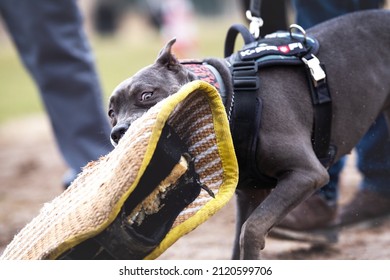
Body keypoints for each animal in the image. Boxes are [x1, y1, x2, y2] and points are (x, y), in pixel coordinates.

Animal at [106, 10, 390, 260]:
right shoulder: (250, 194)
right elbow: (238, 244)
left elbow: (251, 229)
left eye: (146, 95)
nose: (118, 132)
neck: (226, 99)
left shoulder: (307, 173)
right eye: (111, 113)